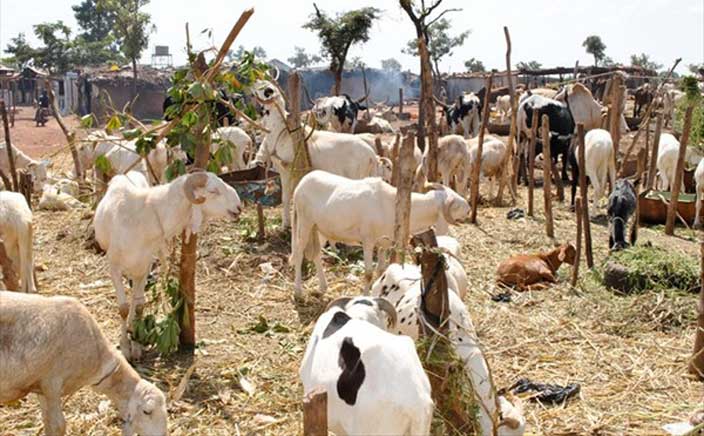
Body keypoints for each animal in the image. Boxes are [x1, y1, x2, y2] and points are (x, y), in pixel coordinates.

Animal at [94, 171, 242, 359]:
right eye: (213, 191)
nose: (238, 207)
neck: (146, 216)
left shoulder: (144, 268)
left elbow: (139, 307)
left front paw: (136, 345)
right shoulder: (114, 268)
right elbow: (123, 309)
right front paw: (125, 349)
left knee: (136, 297)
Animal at [251, 80, 380, 228]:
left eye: (266, 89)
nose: (254, 83)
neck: (282, 131)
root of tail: (371, 154)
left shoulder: (288, 171)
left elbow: (286, 197)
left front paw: (286, 224)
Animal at [291, 170, 469, 296]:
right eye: (455, 203)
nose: (468, 208)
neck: (392, 204)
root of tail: (300, 184)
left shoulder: (384, 244)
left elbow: (381, 270)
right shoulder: (368, 241)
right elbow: (369, 273)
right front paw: (365, 295)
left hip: (318, 229)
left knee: (316, 254)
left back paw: (323, 286)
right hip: (305, 222)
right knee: (299, 252)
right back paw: (298, 291)